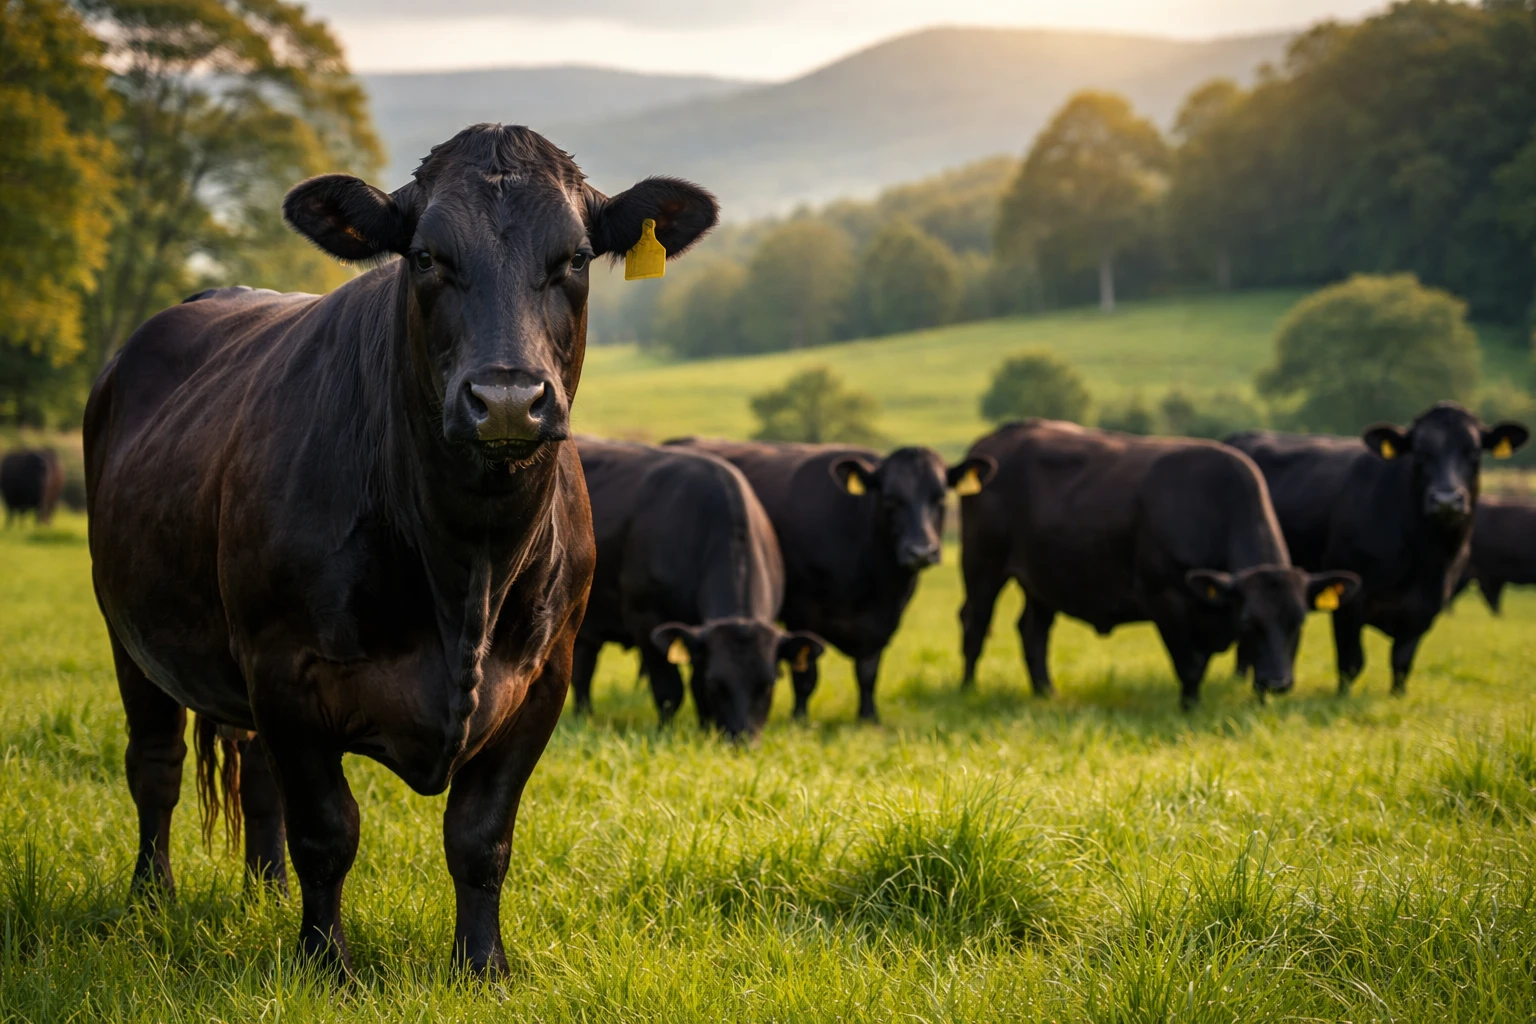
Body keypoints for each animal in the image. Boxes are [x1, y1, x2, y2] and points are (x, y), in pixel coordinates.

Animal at [83, 123, 717, 975]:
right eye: (424, 257)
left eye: (577, 257)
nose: (507, 399)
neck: (466, 565)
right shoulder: (284, 668)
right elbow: (327, 831)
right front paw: (326, 965)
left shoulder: (544, 677)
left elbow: (480, 838)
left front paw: (482, 969)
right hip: (129, 633)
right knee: (155, 767)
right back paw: (152, 900)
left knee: (255, 778)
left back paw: (265, 893)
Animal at [571, 438, 824, 737]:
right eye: (718, 683)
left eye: (768, 684)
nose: (742, 739)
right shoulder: (645, 620)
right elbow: (670, 689)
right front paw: (665, 731)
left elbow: (695, 686)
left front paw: (706, 730)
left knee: (582, 669)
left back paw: (584, 717)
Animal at [666, 438, 995, 722]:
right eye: (890, 499)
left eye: (940, 497)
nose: (922, 551)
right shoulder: (803, 613)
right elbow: (806, 675)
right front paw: (799, 719)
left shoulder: (884, 619)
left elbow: (868, 673)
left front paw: (868, 717)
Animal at [958, 420, 1359, 708]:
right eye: (1249, 622)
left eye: (1299, 621)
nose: (1278, 682)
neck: (1215, 506)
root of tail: (1001, 435)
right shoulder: (1166, 600)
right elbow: (1191, 665)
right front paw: (1189, 709)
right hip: (983, 564)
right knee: (975, 622)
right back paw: (968, 689)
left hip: (1042, 580)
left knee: (1033, 632)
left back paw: (1046, 693)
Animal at [1228, 402, 1528, 695]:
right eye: (1420, 453)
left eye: (1474, 452)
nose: (1446, 500)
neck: (1423, 555)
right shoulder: (1349, 602)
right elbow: (1351, 662)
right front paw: (1342, 698)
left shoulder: (1426, 608)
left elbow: (1402, 662)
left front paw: (1397, 696)